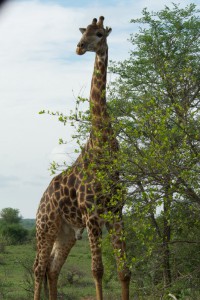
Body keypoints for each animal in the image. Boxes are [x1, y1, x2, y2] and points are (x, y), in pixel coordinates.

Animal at [34, 17, 131, 300]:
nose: (78, 47)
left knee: (52, 269)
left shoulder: (115, 213)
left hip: (65, 233)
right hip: (45, 228)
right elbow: (97, 270)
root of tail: (42, 199)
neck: (102, 148)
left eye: (99, 34)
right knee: (38, 269)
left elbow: (124, 271)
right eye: (83, 32)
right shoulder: (92, 216)